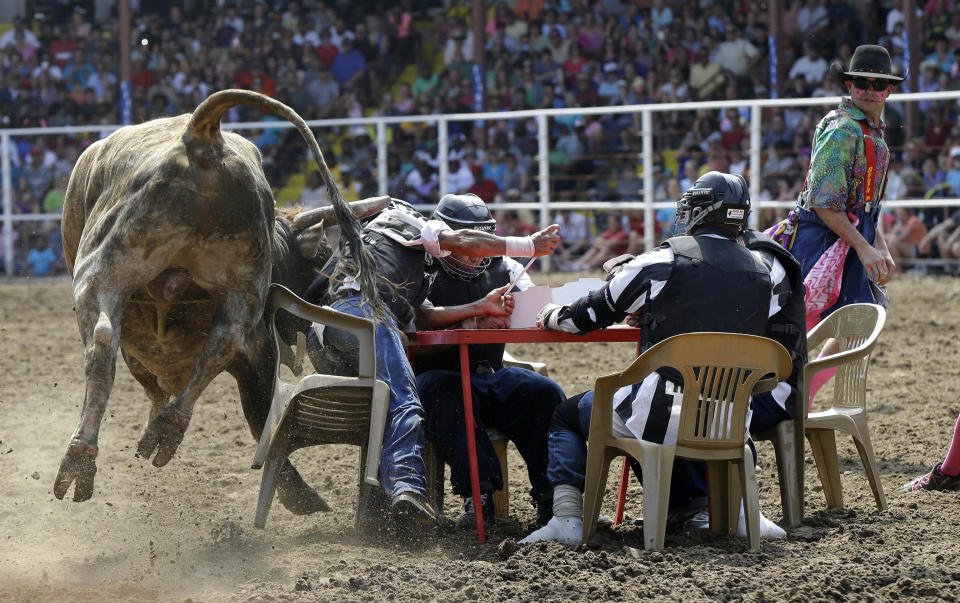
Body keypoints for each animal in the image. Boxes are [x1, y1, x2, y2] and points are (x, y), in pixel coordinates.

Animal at [55, 89, 386, 516]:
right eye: (322, 259)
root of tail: (201, 137)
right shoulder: (258, 348)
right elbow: (258, 411)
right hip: (242, 285)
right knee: (220, 341)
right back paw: (165, 430)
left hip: (101, 270)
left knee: (102, 348)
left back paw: (85, 456)